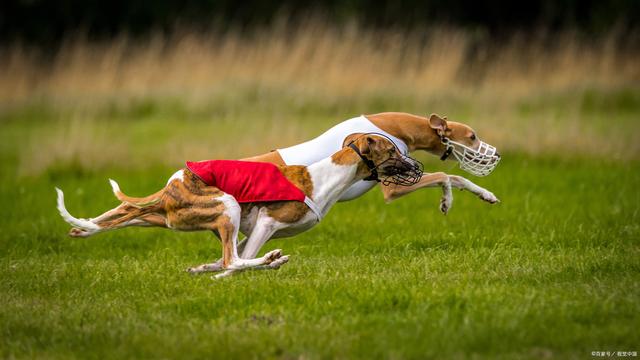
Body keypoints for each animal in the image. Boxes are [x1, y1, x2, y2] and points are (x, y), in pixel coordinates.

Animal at [56, 134, 420, 278]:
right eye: (392, 151)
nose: (416, 166)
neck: (323, 177)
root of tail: (172, 185)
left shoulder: (252, 231)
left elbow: (225, 260)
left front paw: (204, 269)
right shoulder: (266, 224)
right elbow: (234, 262)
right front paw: (228, 272)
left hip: (159, 216)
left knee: (113, 217)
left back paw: (80, 229)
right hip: (227, 206)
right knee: (233, 259)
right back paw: (271, 261)